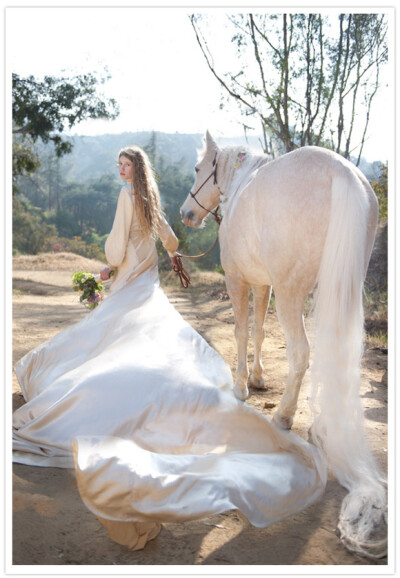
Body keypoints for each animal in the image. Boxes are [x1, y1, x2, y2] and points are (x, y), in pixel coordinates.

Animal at [181, 129, 388, 552]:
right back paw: (322, 425)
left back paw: (285, 416)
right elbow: (260, 330)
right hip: (339, 287)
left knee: (302, 352)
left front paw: (242, 385)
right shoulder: (264, 283)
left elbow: (242, 330)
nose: (186, 215)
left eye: (197, 169)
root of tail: (341, 174)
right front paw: (259, 378)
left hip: (294, 293)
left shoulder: (239, 281)